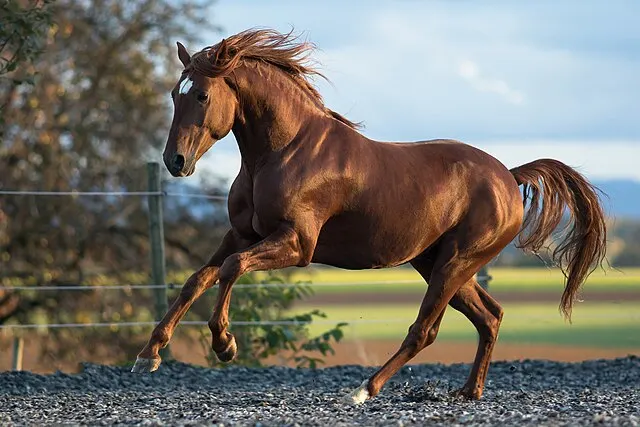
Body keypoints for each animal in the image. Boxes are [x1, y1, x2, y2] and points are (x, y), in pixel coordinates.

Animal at [131, 28, 607, 403]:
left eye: (202, 95)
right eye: (174, 94)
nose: (175, 161)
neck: (283, 152)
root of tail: (509, 176)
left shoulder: (296, 244)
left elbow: (230, 269)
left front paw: (225, 344)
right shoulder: (241, 234)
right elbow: (197, 279)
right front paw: (149, 355)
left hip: (455, 263)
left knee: (425, 330)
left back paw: (363, 389)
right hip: (437, 262)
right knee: (489, 316)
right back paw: (469, 392)